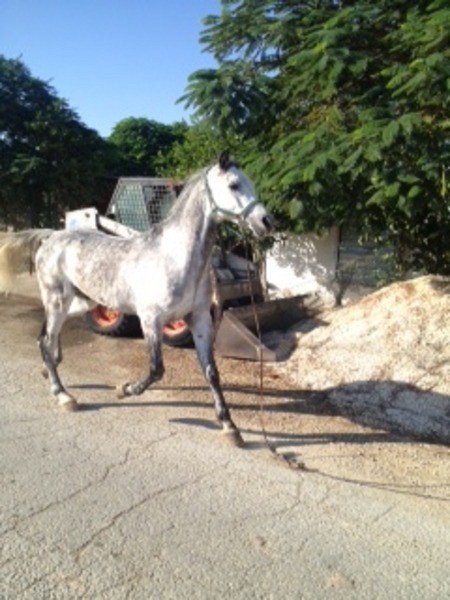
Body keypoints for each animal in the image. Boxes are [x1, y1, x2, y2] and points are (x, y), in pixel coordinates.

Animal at [0, 151, 274, 446]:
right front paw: (124, 389)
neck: (173, 257)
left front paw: (229, 426)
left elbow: (211, 371)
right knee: (44, 338)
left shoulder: (200, 319)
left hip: (81, 302)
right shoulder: (151, 320)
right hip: (58, 300)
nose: (267, 222)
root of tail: (51, 236)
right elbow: (156, 369)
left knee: (49, 336)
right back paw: (62, 395)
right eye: (234, 185)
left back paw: (48, 370)